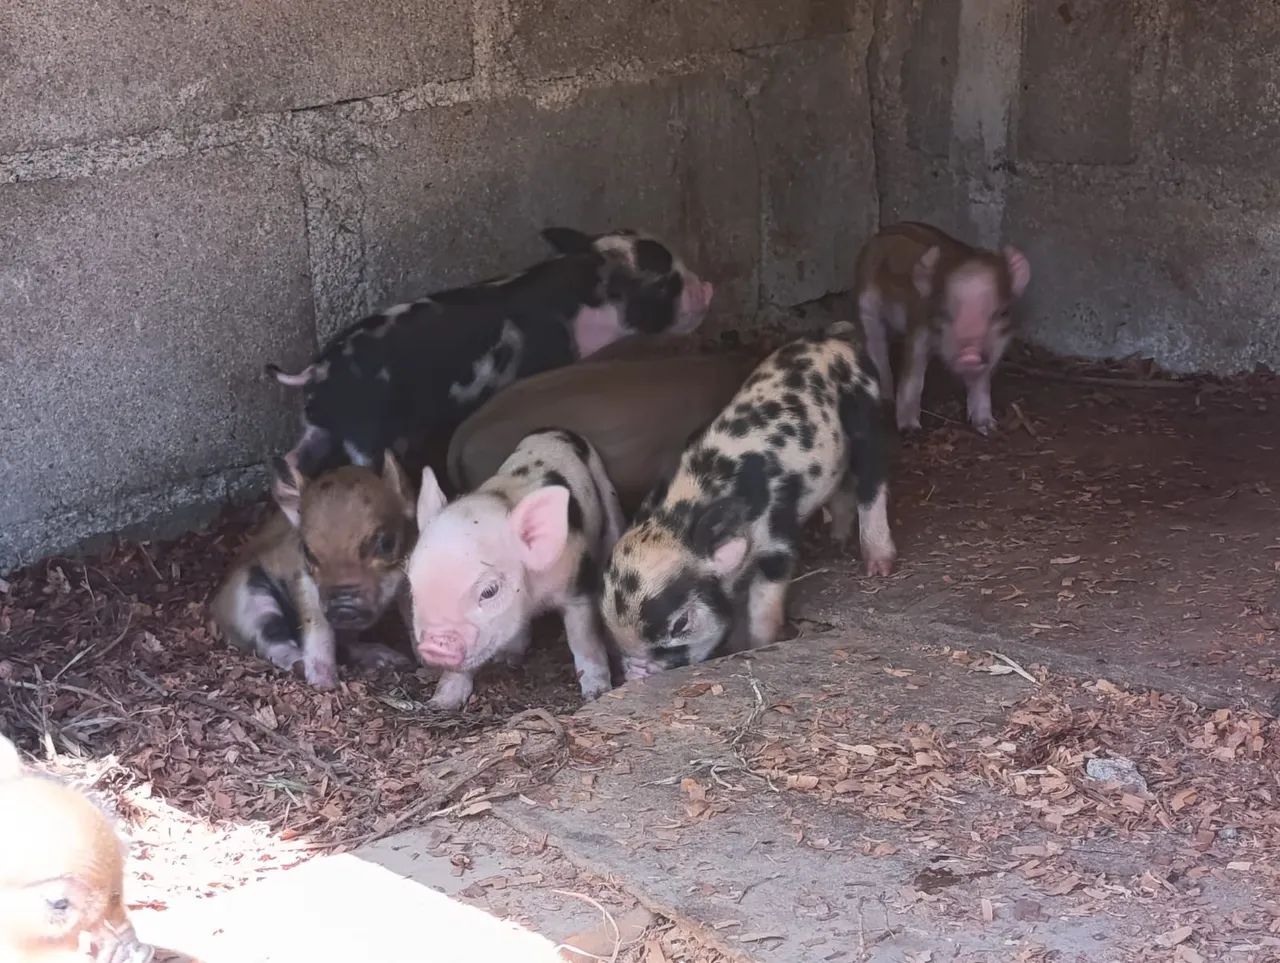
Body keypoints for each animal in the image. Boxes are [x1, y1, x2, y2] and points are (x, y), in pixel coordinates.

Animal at [210, 451, 417, 689]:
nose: (343, 607)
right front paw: (324, 684)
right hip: (249, 596)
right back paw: (299, 663)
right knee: (271, 638)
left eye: (386, 543)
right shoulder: (304, 580)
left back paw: (391, 658)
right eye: (308, 552)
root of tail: (215, 608)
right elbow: (316, 624)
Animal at [266, 227, 715, 477]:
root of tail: (318, 370)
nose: (708, 287)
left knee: (291, 464)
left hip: (320, 429)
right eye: (666, 281)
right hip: (367, 440)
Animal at [407, 428, 626, 711]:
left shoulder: (578, 585)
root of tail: (554, 429)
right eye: (413, 589)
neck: (534, 598)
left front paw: (597, 693)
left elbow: (584, 640)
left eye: (489, 591)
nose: (434, 646)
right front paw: (440, 703)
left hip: (607, 491)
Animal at [600, 322, 896, 678]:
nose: (637, 673)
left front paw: (757, 645)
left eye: (680, 624)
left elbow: (765, 598)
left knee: (872, 479)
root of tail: (834, 339)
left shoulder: (776, 530)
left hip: (863, 411)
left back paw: (878, 566)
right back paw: (835, 543)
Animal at [853, 221, 1031, 434]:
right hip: (865, 302)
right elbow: (912, 378)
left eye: (1003, 312)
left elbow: (981, 382)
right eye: (943, 312)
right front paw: (911, 430)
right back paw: (884, 398)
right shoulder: (918, 329)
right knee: (875, 345)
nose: (970, 353)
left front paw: (987, 427)